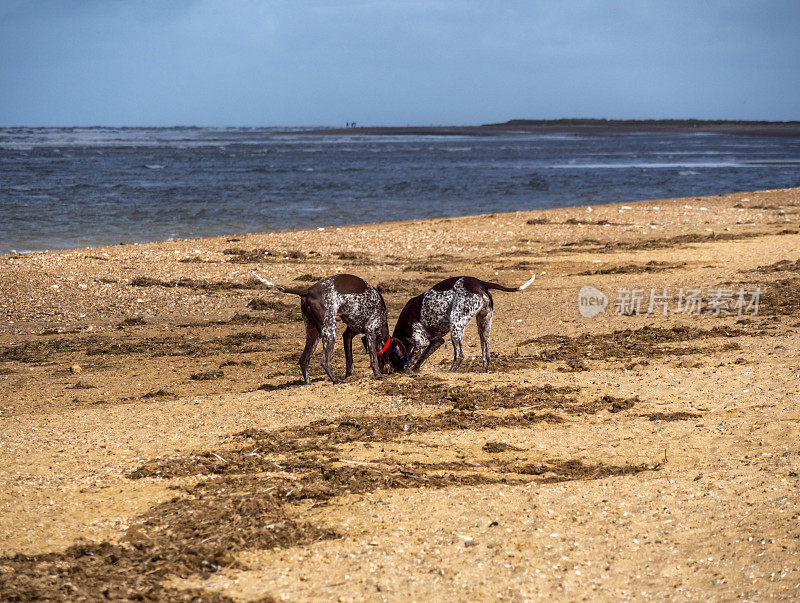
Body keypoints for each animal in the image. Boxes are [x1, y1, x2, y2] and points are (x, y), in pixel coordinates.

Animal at [247, 272, 390, 384]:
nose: (389, 371)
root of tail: (308, 291)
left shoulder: (349, 334)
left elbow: (350, 361)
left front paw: (349, 376)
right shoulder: (370, 329)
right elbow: (373, 358)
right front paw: (378, 375)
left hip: (313, 333)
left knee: (304, 360)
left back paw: (309, 383)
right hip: (330, 330)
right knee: (325, 362)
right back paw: (336, 381)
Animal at [390, 276, 536, 376]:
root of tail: (481, 283)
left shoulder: (421, 341)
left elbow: (410, 361)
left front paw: (406, 371)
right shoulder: (436, 341)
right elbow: (421, 357)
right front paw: (415, 369)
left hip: (456, 325)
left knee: (459, 355)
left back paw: (450, 372)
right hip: (483, 326)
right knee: (486, 356)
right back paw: (483, 371)